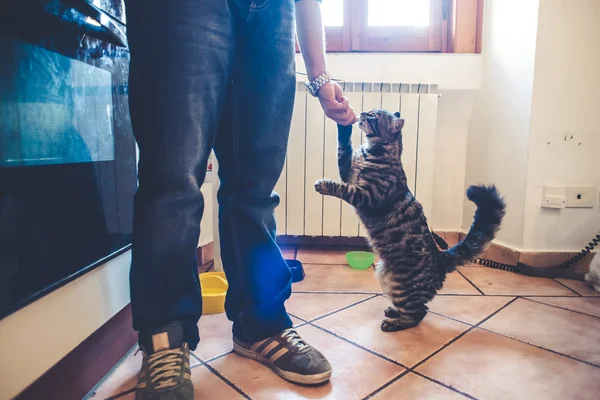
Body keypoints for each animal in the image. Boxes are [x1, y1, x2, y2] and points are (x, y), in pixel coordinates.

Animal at [314, 109, 506, 332]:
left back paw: (393, 323)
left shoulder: (367, 195)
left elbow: (342, 188)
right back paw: (393, 311)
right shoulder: (349, 171)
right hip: (385, 277)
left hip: (402, 286)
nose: (361, 113)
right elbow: (343, 147)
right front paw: (343, 121)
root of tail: (440, 258)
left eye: (373, 116)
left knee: (419, 312)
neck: (372, 150)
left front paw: (324, 185)